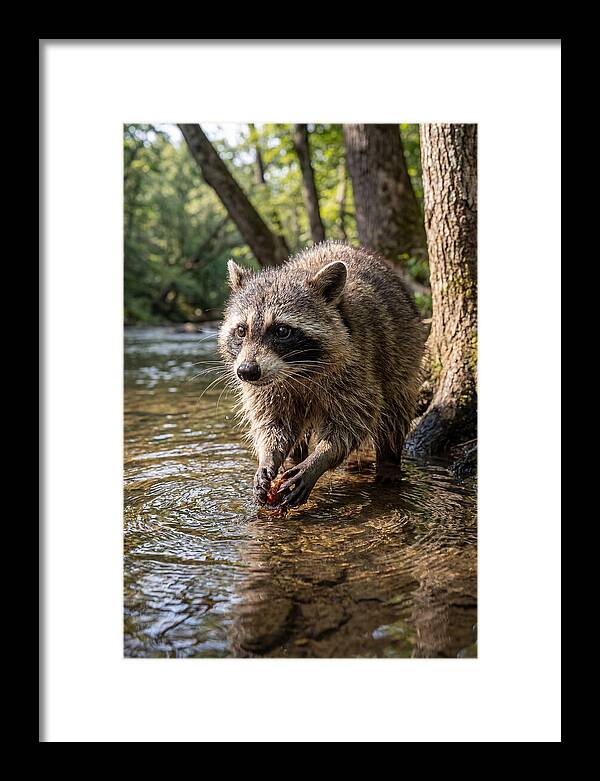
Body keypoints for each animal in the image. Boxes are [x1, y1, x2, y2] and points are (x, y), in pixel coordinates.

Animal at [218, 241, 426, 508]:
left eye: (282, 330)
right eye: (241, 331)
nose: (246, 372)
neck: (296, 370)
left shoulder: (358, 365)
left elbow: (354, 421)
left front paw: (320, 458)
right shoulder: (267, 387)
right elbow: (272, 423)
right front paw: (268, 456)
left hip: (404, 351)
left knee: (395, 411)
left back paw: (389, 461)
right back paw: (294, 458)